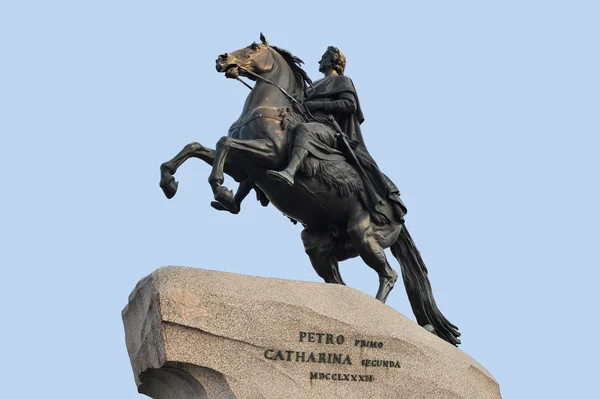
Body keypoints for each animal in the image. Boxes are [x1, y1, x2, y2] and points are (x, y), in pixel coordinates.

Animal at [158, 35, 460, 346]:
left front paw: (219, 188)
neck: (269, 107)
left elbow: (223, 143)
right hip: (319, 247)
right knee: (338, 280)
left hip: (363, 234)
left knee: (388, 274)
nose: (222, 59)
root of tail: (400, 217)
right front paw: (172, 183)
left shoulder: (267, 154)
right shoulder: (242, 167)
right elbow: (197, 147)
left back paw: (379, 316)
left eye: (254, 47)